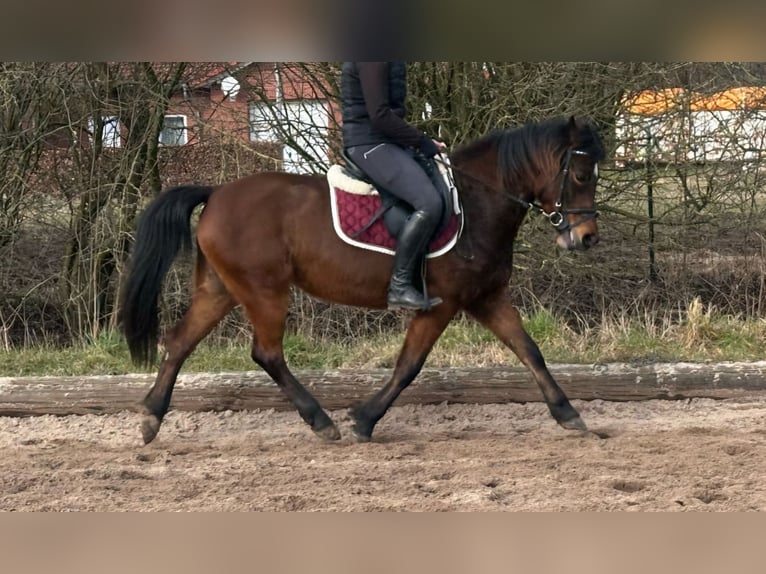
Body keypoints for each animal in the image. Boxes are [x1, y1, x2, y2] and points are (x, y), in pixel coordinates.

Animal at [118, 113, 608, 446]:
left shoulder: (485, 297)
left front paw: (569, 414)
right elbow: (409, 365)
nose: (587, 238)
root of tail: (217, 192)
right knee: (267, 353)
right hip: (265, 291)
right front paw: (365, 419)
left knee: (180, 341)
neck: (478, 201)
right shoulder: (444, 303)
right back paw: (322, 421)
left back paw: (151, 418)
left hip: (221, 290)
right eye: (581, 174)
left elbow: (530, 351)